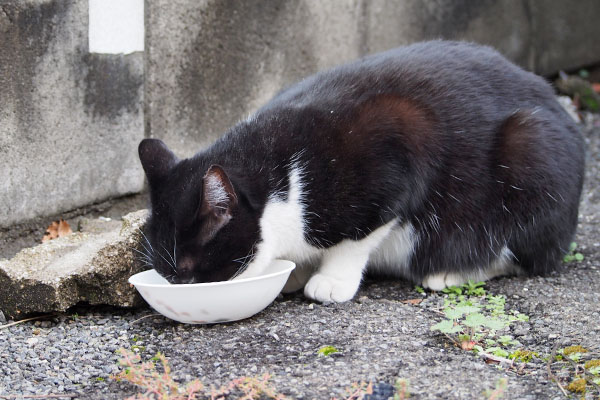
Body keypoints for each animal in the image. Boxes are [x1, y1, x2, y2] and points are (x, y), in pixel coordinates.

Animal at [138, 40, 584, 304]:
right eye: (166, 273)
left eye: (188, 273)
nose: (177, 290)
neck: (283, 182)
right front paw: (296, 272)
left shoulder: (399, 147)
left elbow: (356, 239)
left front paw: (330, 279)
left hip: (530, 149)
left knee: (528, 256)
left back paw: (452, 271)